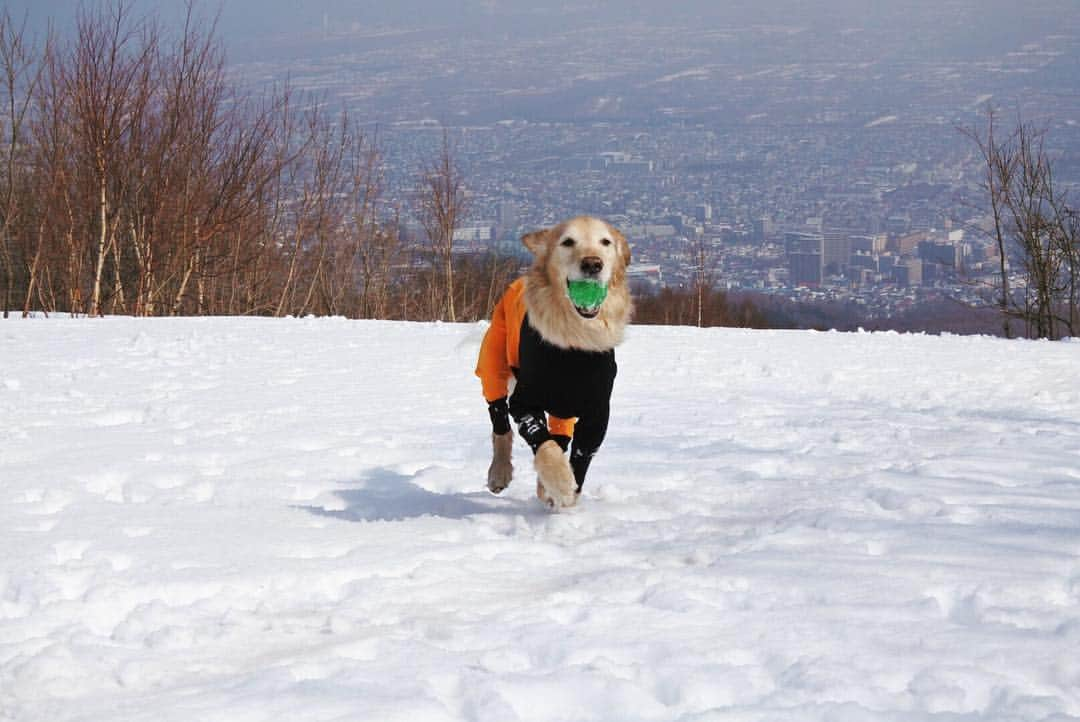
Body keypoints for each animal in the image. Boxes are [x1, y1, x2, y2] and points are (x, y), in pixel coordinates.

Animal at [475, 213, 630, 507]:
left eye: (605, 242)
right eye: (568, 242)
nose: (593, 264)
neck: (574, 337)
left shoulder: (597, 413)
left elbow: (578, 455)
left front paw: (562, 490)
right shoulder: (524, 401)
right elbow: (544, 446)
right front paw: (560, 484)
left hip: (564, 409)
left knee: (560, 436)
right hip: (492, 363)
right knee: (499, 421)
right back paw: (499, 472)